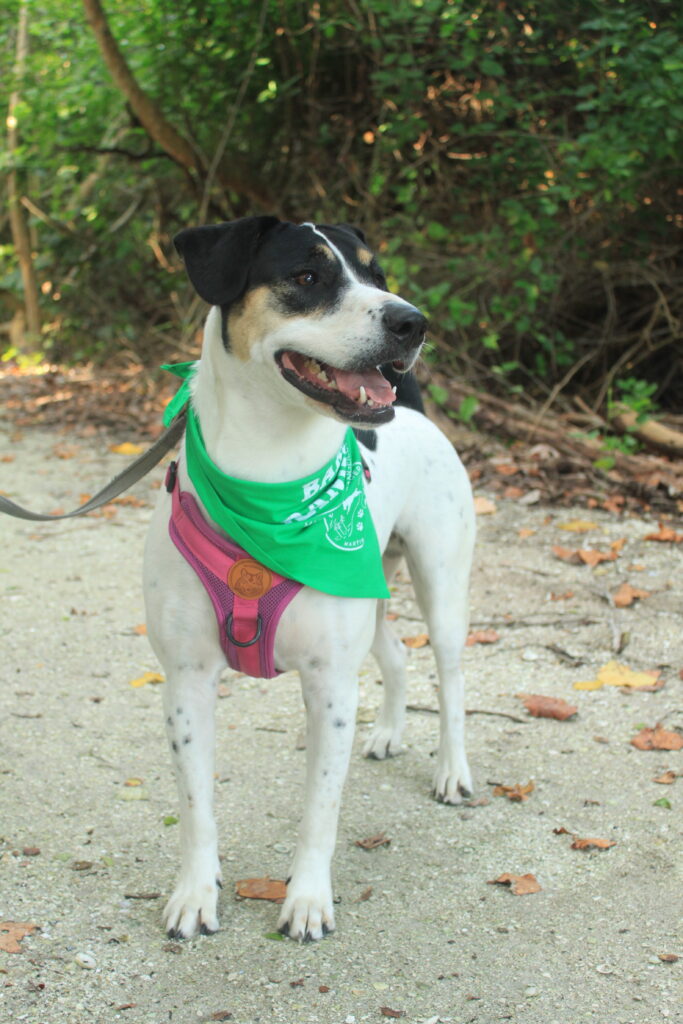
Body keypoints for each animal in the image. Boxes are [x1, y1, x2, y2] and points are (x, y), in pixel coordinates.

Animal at [144, 218, 475, 942]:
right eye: (306, 277)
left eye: (376, 273)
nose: (412, 321)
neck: (269, 486)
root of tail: (413, 412)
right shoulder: (186, 682)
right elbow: (195, 804)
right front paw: (195, 893)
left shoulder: (329, 686)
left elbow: (320, 808)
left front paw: (306, 900)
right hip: (371, 596)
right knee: (396, 655)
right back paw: (387, 733)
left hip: (442, 590)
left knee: (450, 681)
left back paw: (452, 771)